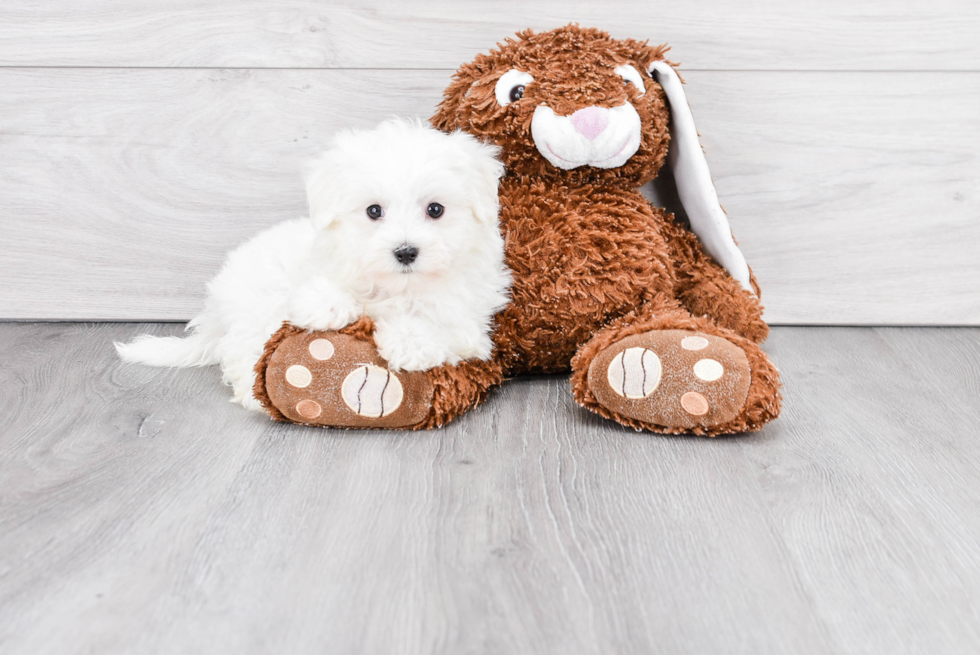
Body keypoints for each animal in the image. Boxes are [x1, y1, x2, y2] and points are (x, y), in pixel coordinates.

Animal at [118, 119, 510, 410]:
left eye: (435, 209)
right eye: (373, 211)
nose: (405, 251)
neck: (396, 286)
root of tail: (216, 312)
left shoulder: (470, 324)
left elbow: (440, 322)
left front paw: (411, 342)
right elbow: (321, 287)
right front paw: (326, 305)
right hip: (252, 312)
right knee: (244, 354)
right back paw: (256, 396)